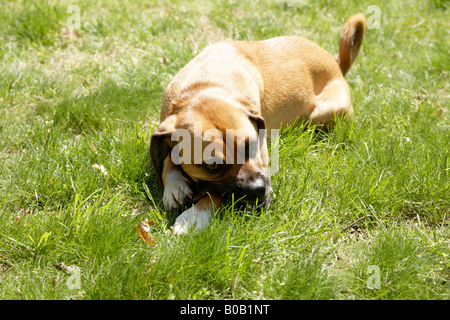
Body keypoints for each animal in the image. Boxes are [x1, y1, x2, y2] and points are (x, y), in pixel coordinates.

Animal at [149, 13, 364, 235]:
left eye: (252, 144)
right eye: (213, 166)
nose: (258, 189)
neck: (201, 87)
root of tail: (336, 63)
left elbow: (217, 194)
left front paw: (194, 216)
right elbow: (167, 159)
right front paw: (175, 185)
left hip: (322, 113)